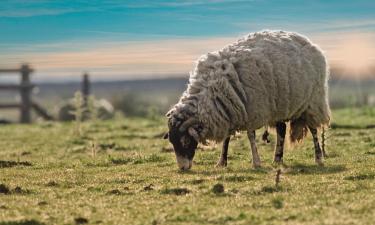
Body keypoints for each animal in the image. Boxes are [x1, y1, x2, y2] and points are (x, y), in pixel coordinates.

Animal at [164, 30, 332, 171]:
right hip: (280, 103)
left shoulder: (252, 110)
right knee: (281, 130)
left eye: (185, 141)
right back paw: (277, 159)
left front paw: (256, 162)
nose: (183, 168)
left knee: (313, 129)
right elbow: (226, 138)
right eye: (172, 142)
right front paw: (221, 162)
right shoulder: (228, 110)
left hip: (312, 102)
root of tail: (306, 40)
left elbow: (251, 137)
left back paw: (318, 158)